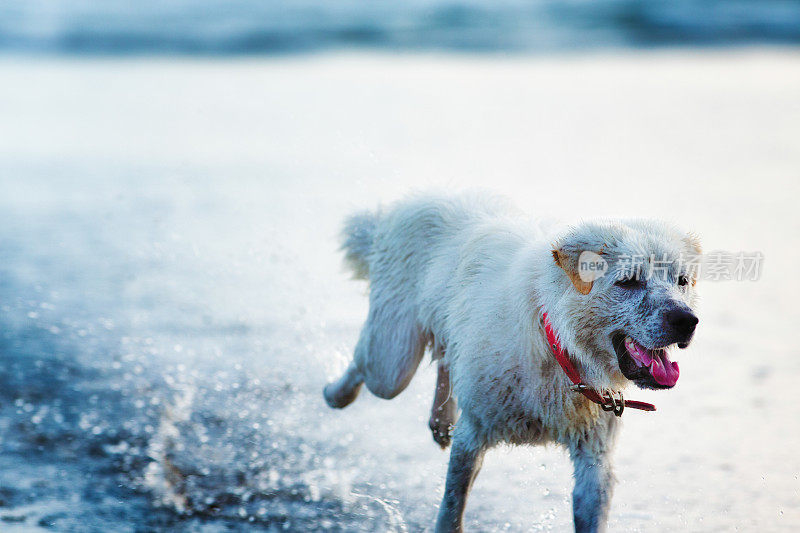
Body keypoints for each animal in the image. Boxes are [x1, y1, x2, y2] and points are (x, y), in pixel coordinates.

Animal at [324, 193, 700, 528]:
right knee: (367, 365)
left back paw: (440, 421)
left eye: (682, 281)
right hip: (392, 363)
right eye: (629, 281)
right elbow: (451, 511)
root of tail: (405, 205)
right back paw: (335, 393)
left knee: (447, 357)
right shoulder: (472, 436)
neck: (557, 344)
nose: (688, 320)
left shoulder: (595, 459)